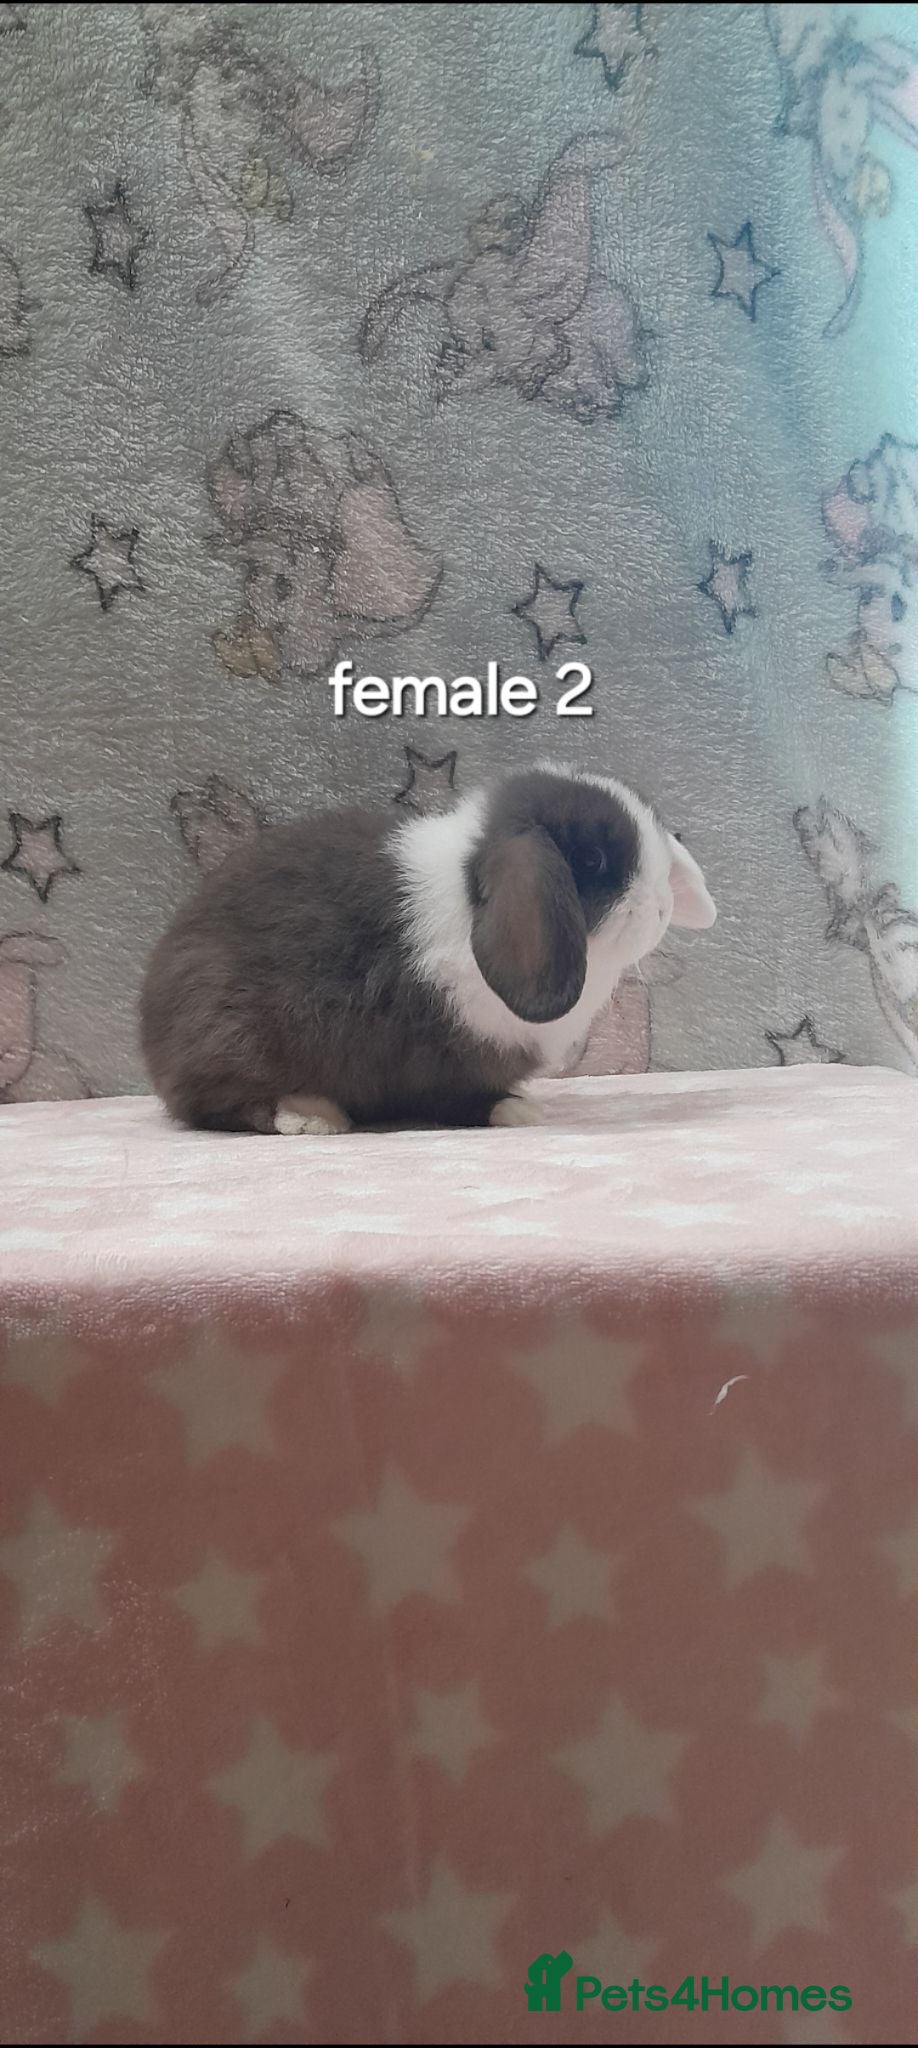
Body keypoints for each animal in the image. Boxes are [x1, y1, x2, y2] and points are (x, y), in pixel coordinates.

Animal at [139, 765, 716, 1136]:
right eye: (593, 860)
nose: (663, 906)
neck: (467, 899)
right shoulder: (439, 1056)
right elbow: (457, 1096)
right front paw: (516, 1111)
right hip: (230, 1037)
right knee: (220, 1106)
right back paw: (311, 1116)